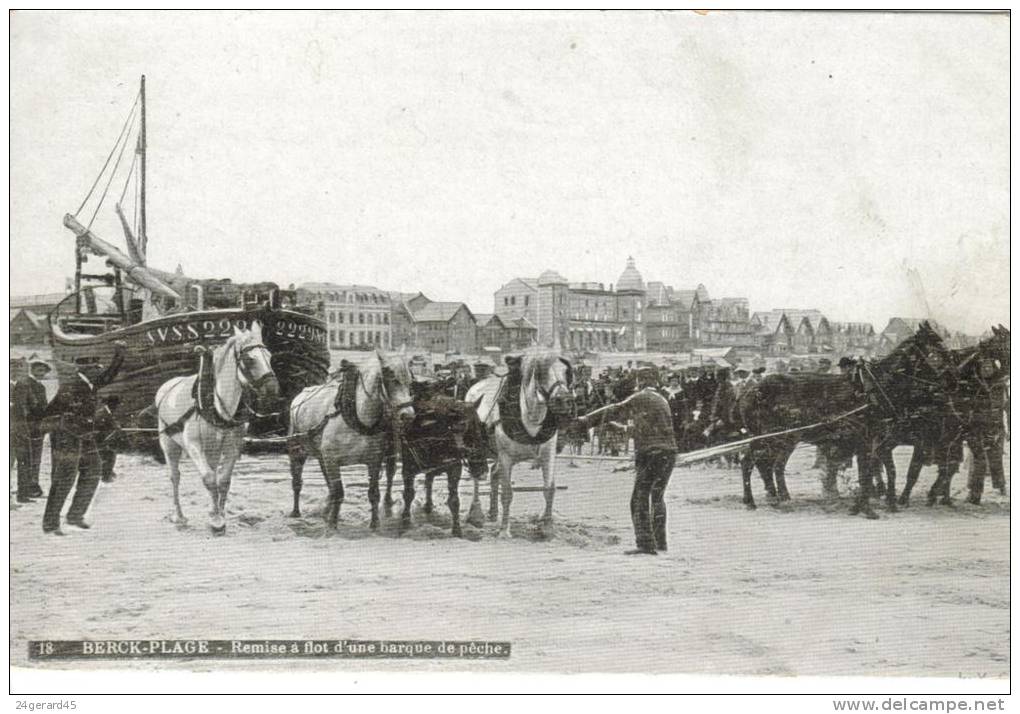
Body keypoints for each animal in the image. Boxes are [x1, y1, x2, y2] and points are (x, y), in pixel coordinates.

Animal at [154, 326, 279, 534]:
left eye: (269, 356)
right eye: (249, 359)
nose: (273, 390)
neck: (217, 404)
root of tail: (167, 386)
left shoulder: (232, 446)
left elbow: (223, 480)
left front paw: (218, 514)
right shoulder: (193, 445)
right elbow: (209, 478)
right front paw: (216, 520)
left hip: (211, 449)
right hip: (169, 444)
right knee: (175, 477)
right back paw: (178, 515)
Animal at [285, 348, 412, 526]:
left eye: (410, 382)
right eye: (391, 378)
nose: (408, 415)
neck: (356, 417)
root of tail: (300, 396)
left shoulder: (374, 460)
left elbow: (373, 493)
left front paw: (374, 524)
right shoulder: (332, 459)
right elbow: (339, 493)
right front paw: (332, 524)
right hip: (297, 449)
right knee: (297, 480)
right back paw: (296, 512)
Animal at [465, 348, 575, 538]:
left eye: (565, 371)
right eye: (541, 373)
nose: (563, 401)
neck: (530, 418)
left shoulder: (548, 454)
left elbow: (549, 488)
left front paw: (547, 527)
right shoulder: (506, 457)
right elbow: (507, 492)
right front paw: (504, 530)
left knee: (494, 473)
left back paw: (493, 512)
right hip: (479, 451)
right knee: (477, 477)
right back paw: (476, 513)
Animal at [738, 324, 950, 518]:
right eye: (938, 350)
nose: (950, 382)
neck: (874, 390)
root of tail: (751, 391)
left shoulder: (873, 443)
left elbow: (868, 473)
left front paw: (860, 506)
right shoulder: (869, 441)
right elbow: (868, 473)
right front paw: (867, 508)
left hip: (780, 438)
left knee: (765, 464)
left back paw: (774, 498)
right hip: (771, 437)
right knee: (751, 462)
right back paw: (754, 501)